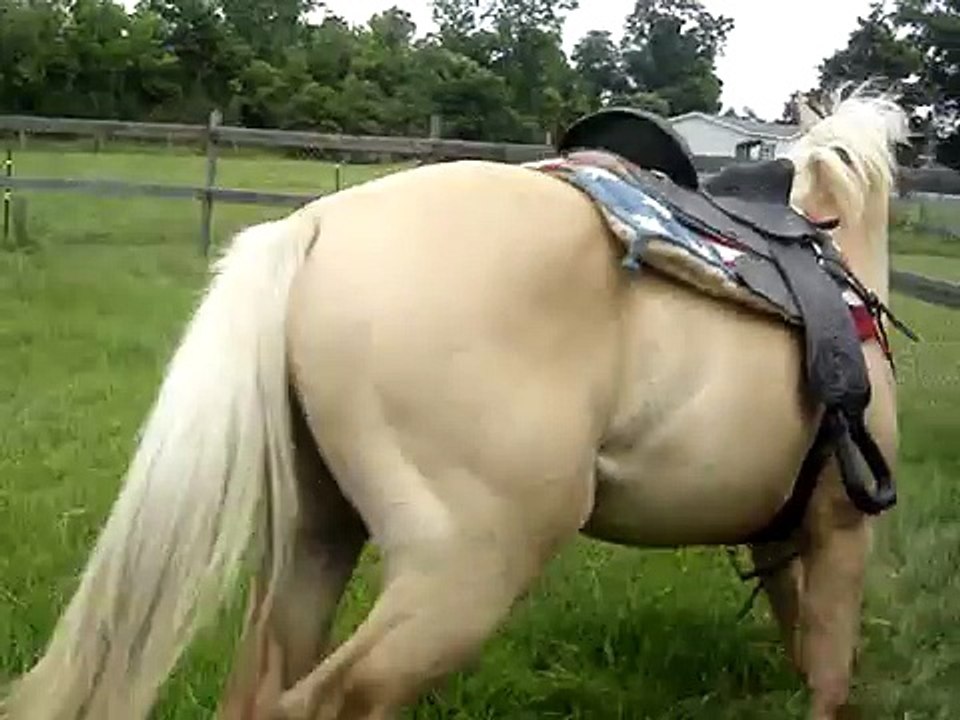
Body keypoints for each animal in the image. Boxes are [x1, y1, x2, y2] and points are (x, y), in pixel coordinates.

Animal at [0, 91, 909, 720]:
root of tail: (317, 226)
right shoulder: (841, 531)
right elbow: (829, 674)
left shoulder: (781, 538)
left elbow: (803, 649)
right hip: (467, 570)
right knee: (325, 701)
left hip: (314, 538)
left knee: (259, 691)